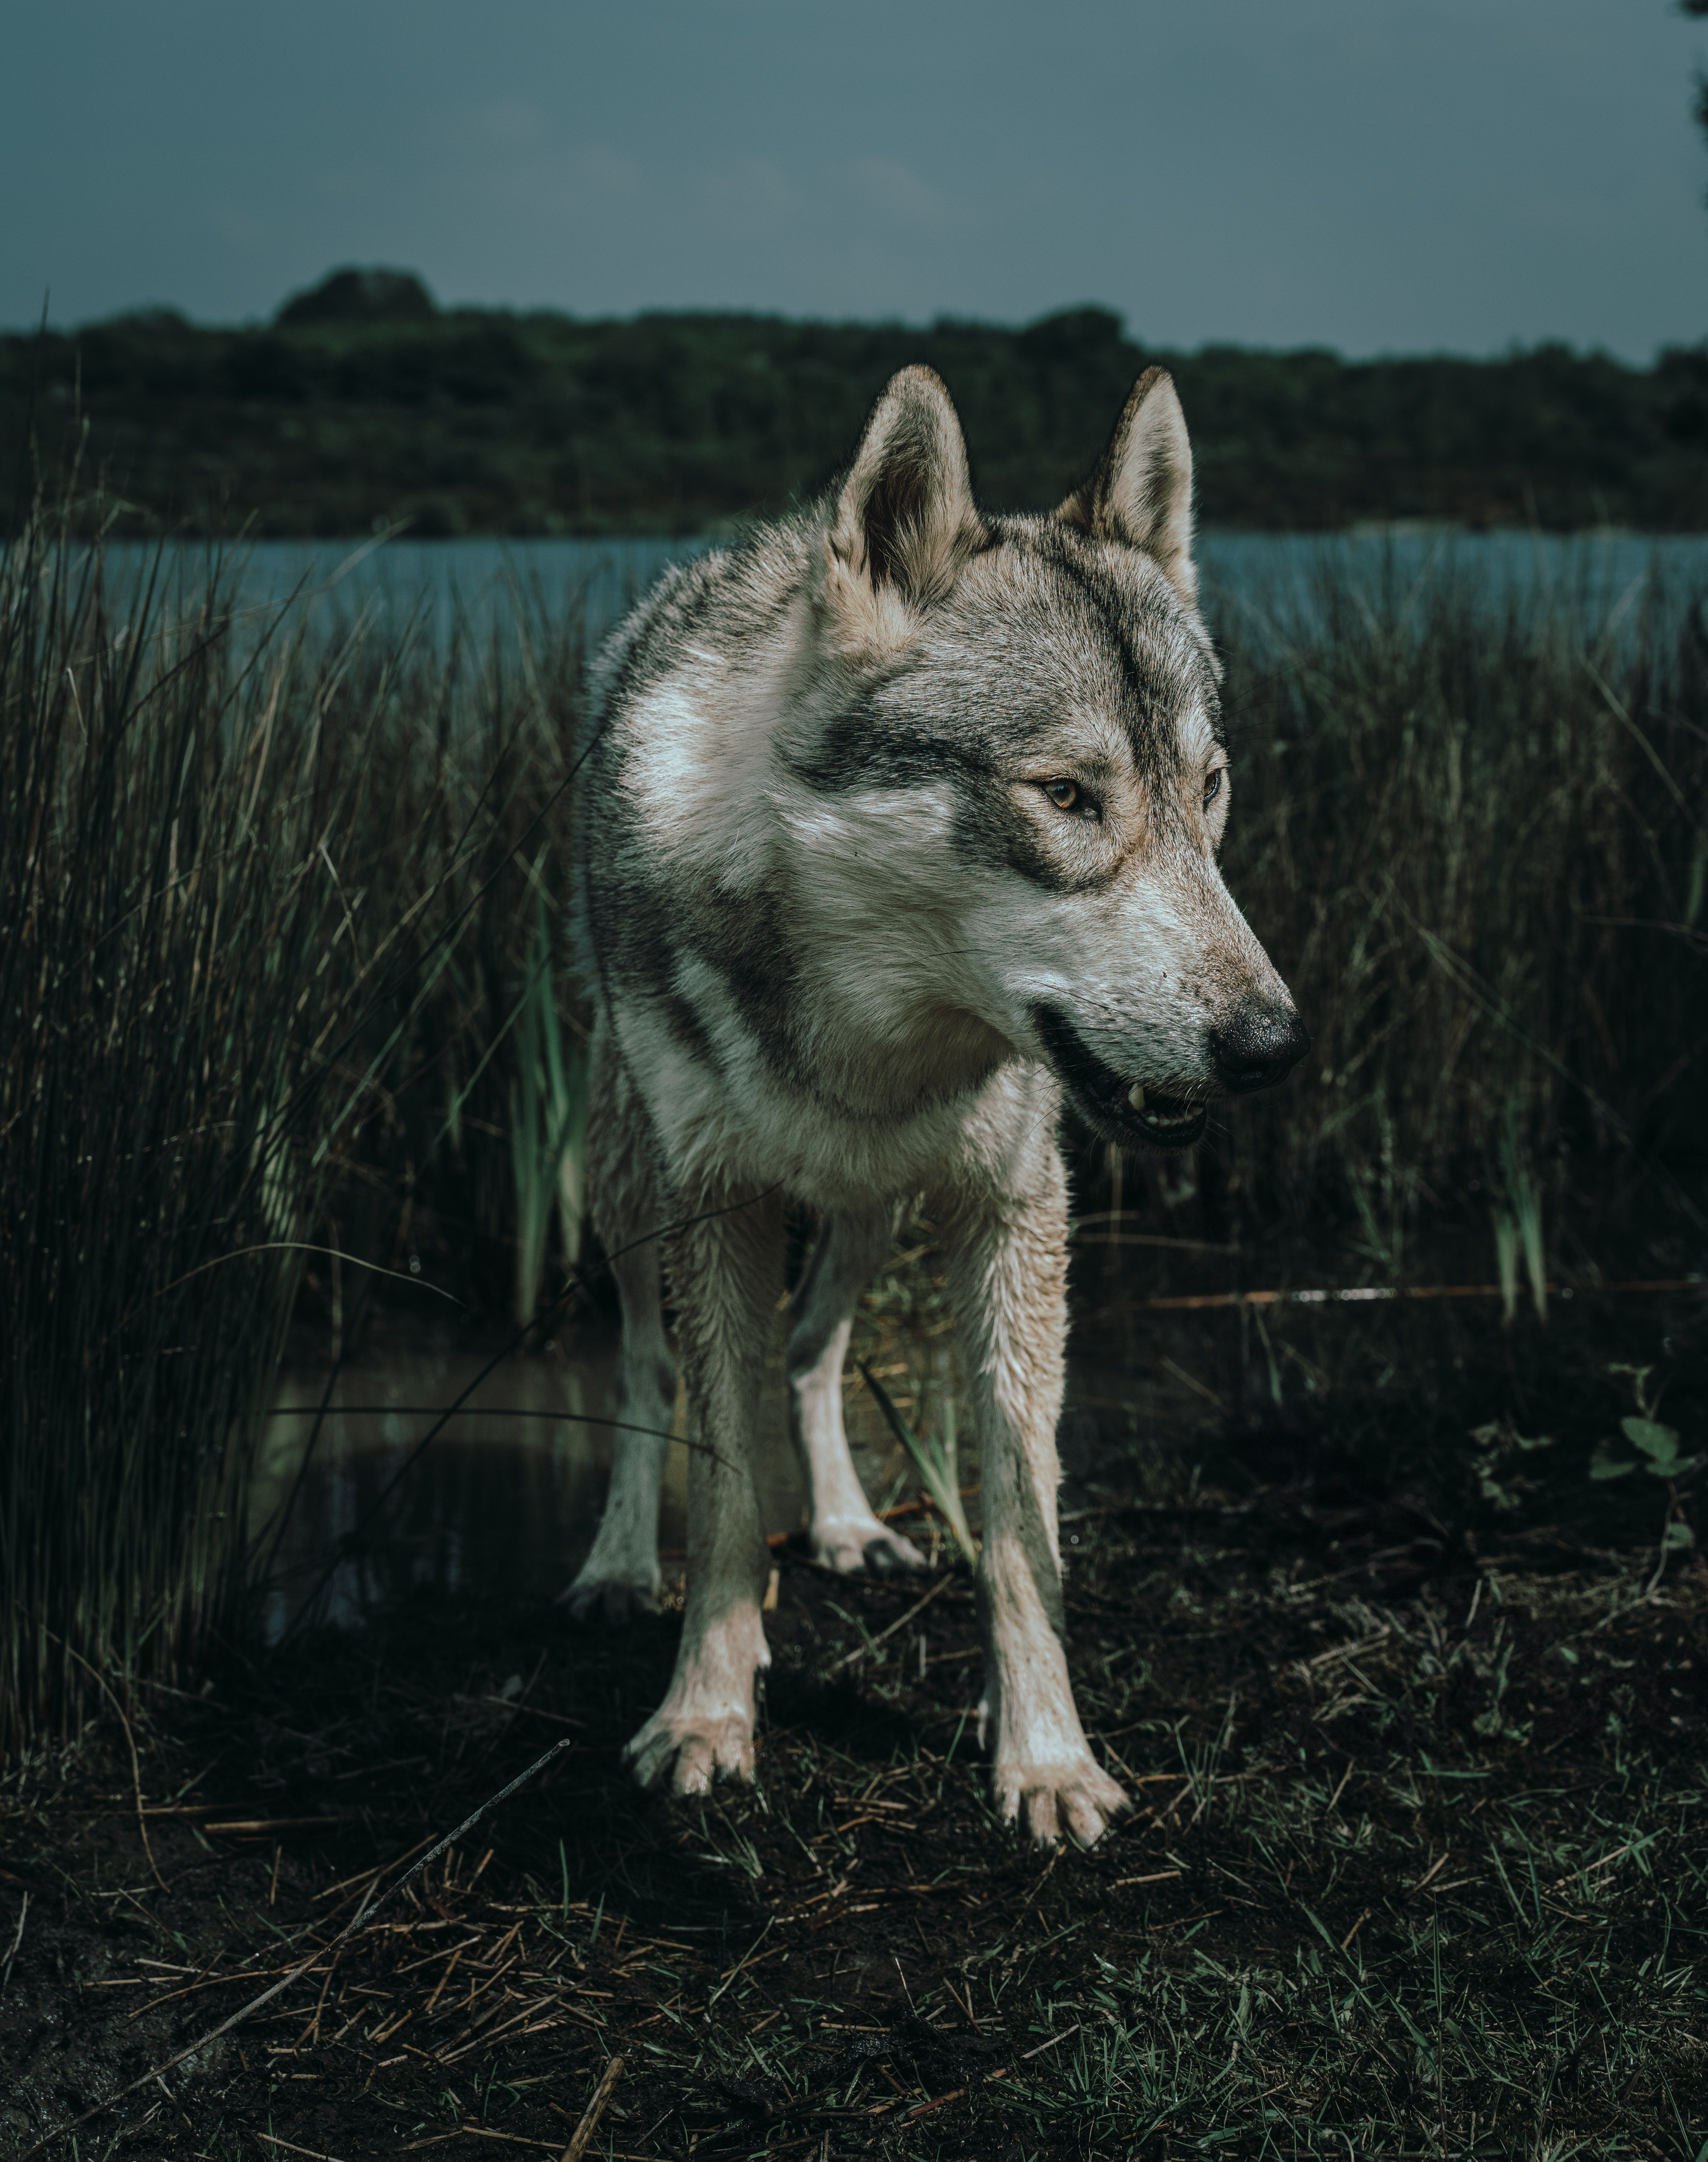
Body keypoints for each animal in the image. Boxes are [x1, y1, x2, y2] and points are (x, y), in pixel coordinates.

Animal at [564, 364, 1306, 1846]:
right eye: (1067, 795)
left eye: (1208, 790)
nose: (1272, 1045)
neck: (870, 1029)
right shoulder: (716, 1212)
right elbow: (721, 1495)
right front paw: (706, 1714)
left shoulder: (1013, 1212)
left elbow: (1022, 1517)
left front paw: (1044, 1752)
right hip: (627, 1189)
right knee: (645, 1367)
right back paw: (621, 1565)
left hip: (872, 1212)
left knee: (812, 1350)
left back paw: (848, 1527)